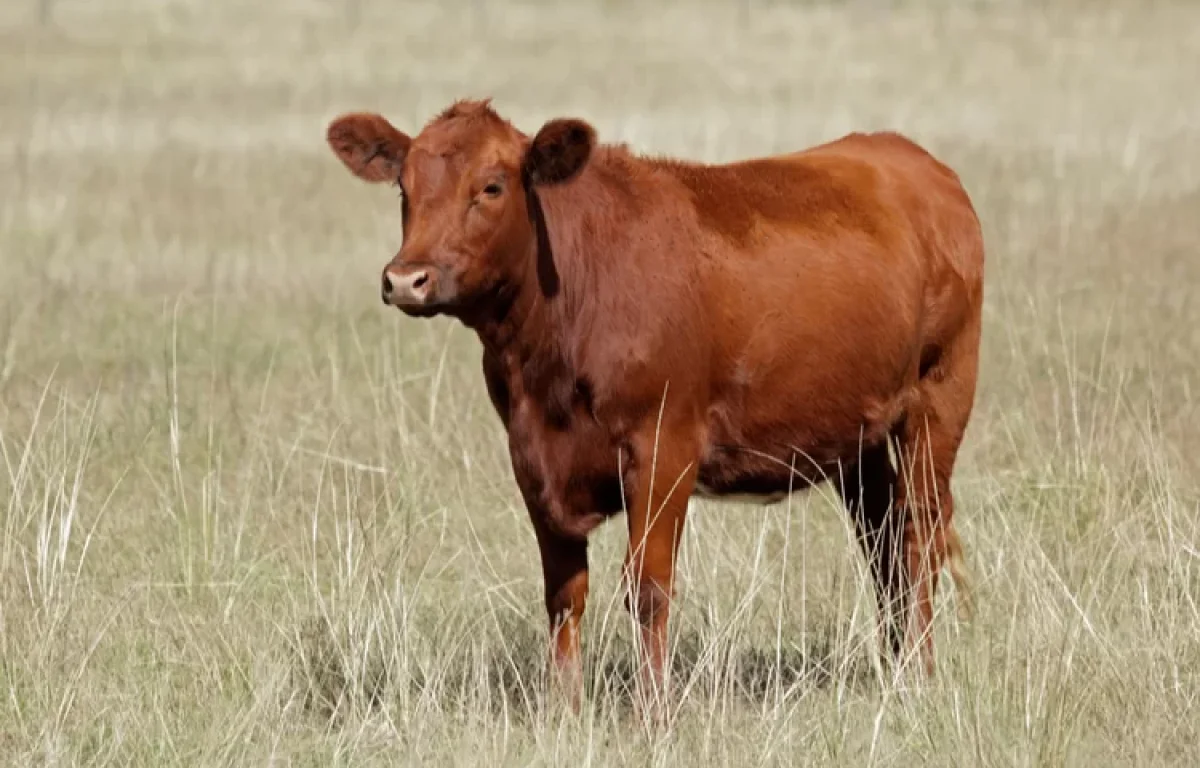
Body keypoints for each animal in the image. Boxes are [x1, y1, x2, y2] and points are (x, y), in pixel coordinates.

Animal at [324, 99, 979, 705]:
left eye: (490, 186)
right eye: (404, 187)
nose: (406, 279)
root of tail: (910, 158)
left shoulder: (665, 446)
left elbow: (648, 586)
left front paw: (653, 715)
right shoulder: (531, 458)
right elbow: (563, 594)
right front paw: (565, 712)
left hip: (938, 399)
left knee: (918, 533)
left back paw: (920, 674)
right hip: (854, 435)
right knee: (883, 541)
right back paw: (896, 667)